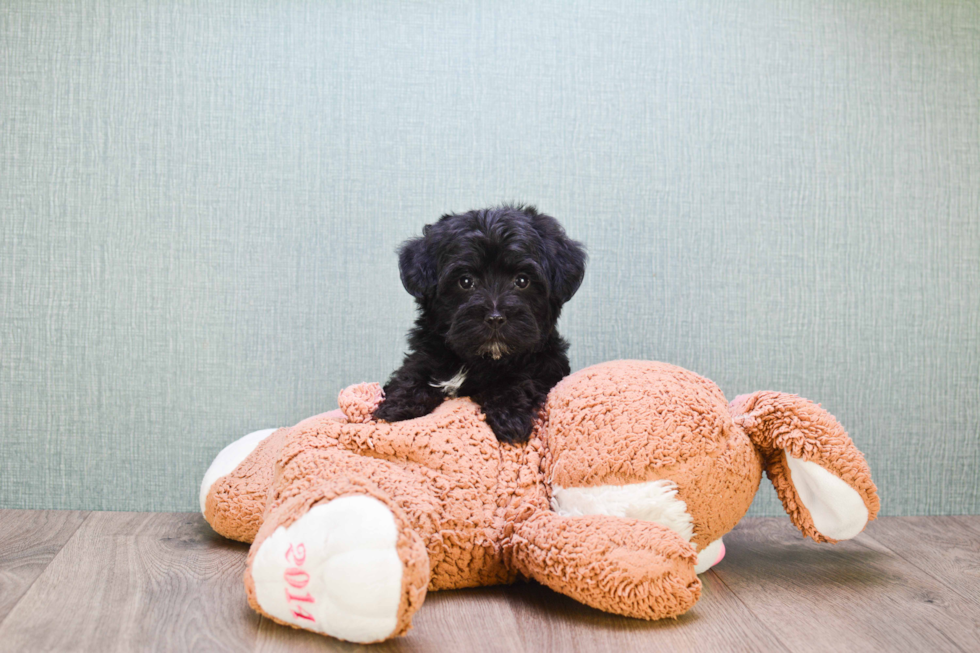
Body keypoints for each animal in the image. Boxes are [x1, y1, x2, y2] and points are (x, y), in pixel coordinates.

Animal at [372, 205, 584, 444]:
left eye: (522, 281)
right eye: (465, 281)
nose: (495, 318)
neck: (480, 359)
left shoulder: (546, 366)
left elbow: (521, 380)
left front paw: (511, 418)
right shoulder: (426, 354)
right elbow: (411, 373)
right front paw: (396, 407)